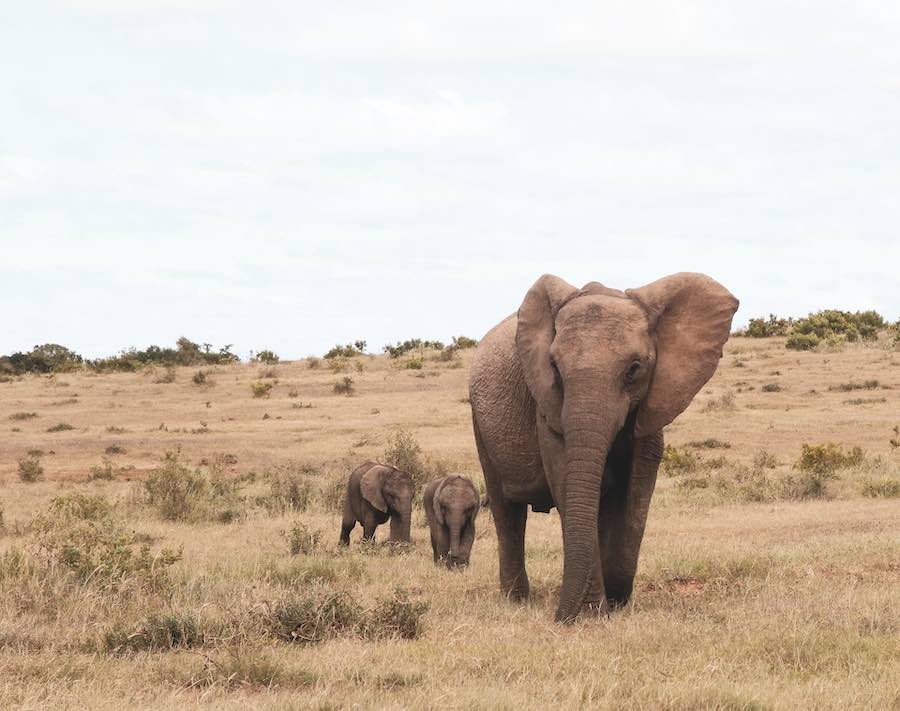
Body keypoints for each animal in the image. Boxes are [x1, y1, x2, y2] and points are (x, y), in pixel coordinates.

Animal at [472, 272, 740, 624]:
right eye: (554, 366)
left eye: (634, 368)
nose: (559, 618)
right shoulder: (547, 405)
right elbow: (566, 480)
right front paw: (594, 612)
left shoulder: (651, 404)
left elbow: (636, 492)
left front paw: (615, 599)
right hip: (480, 424)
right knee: (507, 514)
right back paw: (516, 601)